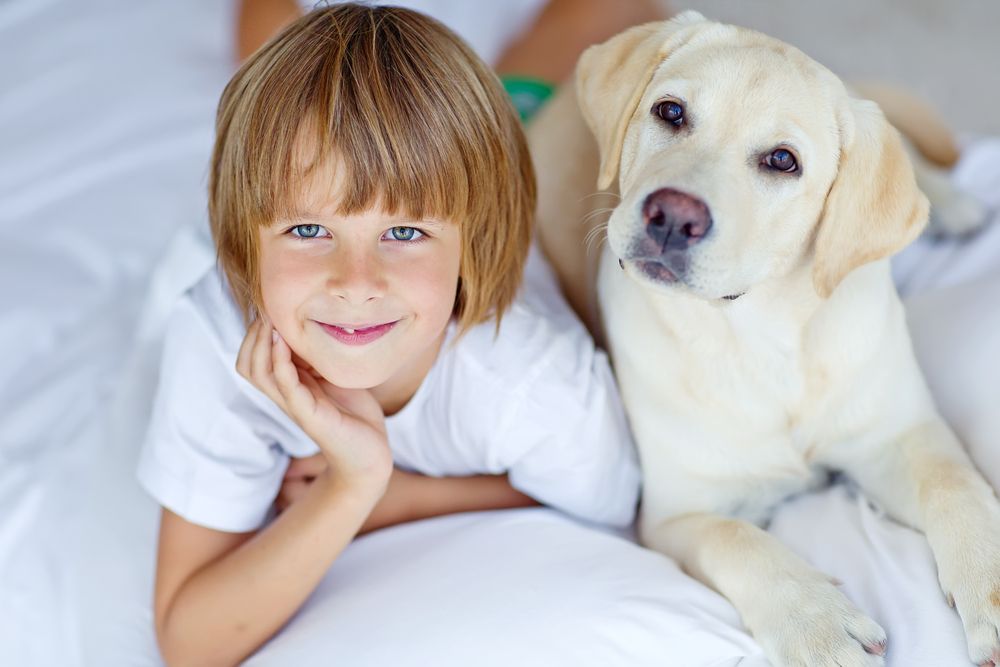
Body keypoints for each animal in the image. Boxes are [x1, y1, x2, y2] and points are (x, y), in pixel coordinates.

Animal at [528, 11, 996, 667]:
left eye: (782, 160)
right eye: (671, 112)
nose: (673, 215)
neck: (759, 336)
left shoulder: (899, 435)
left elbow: (959, 488)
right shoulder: (677, 513)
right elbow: (739, 541)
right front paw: (818, 628)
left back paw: (955, 204)